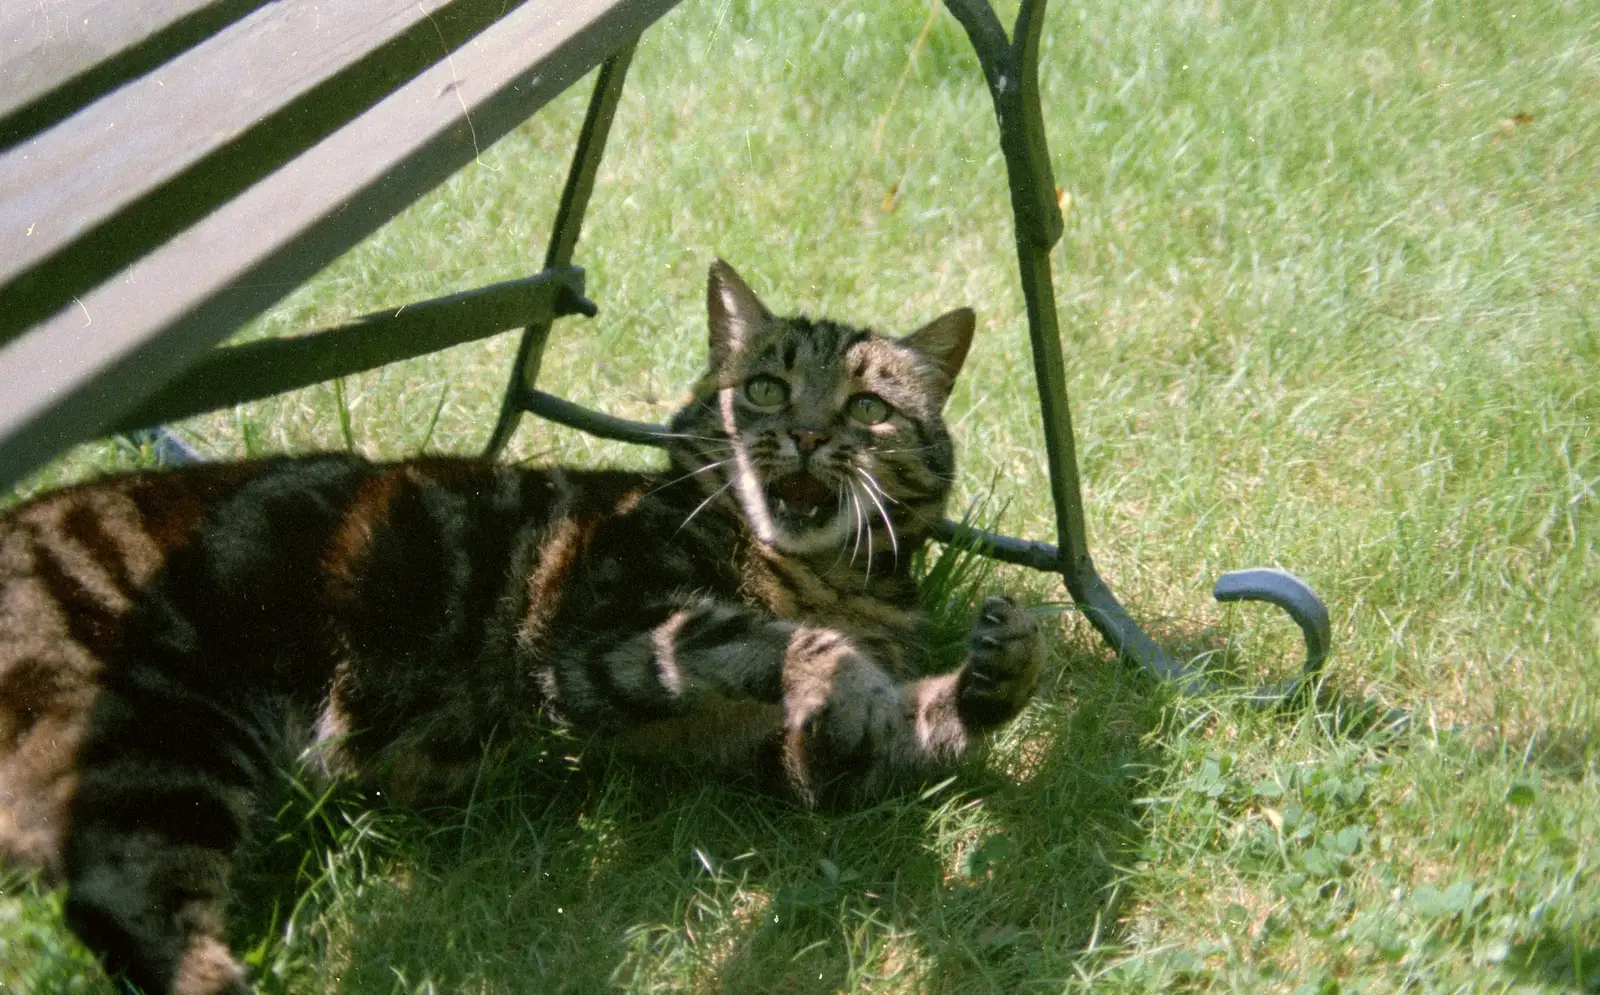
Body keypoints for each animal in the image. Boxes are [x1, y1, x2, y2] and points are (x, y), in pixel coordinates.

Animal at [0, 263, 1043, 995]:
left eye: (867, 407)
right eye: (766, 390)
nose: (811, 435)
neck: (829, 579)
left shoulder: (777, 757)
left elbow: (908, 719)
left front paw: (998, 667)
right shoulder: (597, 631)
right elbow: (768, 639)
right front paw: (850, 668)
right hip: (160, 741)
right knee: (130, 908)